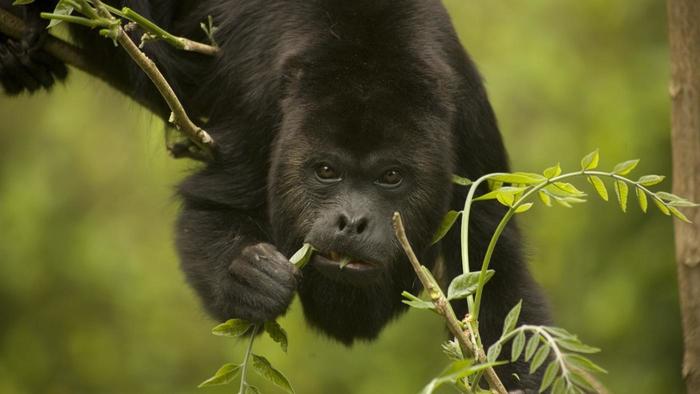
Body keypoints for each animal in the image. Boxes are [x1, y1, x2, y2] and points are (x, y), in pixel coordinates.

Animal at [2, 0, 556, 388]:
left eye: (391, 177)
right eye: (326, 171)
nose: (351, 221)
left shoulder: (469, 123)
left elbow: (495, 272)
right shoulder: (263, 105)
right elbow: (213, 203)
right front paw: (249, 277)